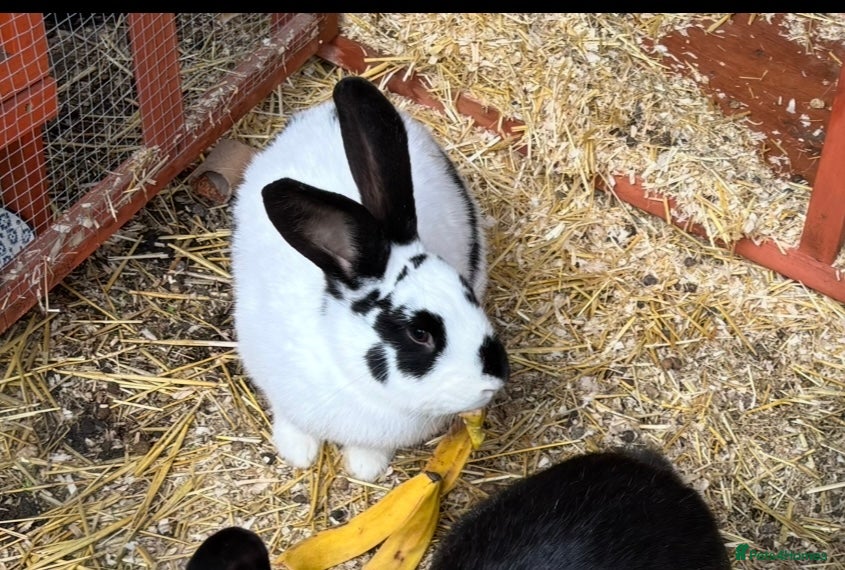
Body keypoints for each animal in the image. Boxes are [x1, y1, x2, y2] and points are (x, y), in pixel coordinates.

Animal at [230, 76, 509, 482]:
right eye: (419, 333)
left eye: (468, 294)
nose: (492, 383)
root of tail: (325, 111)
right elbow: (291, 421)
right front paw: (297, 452)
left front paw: (365, 467)